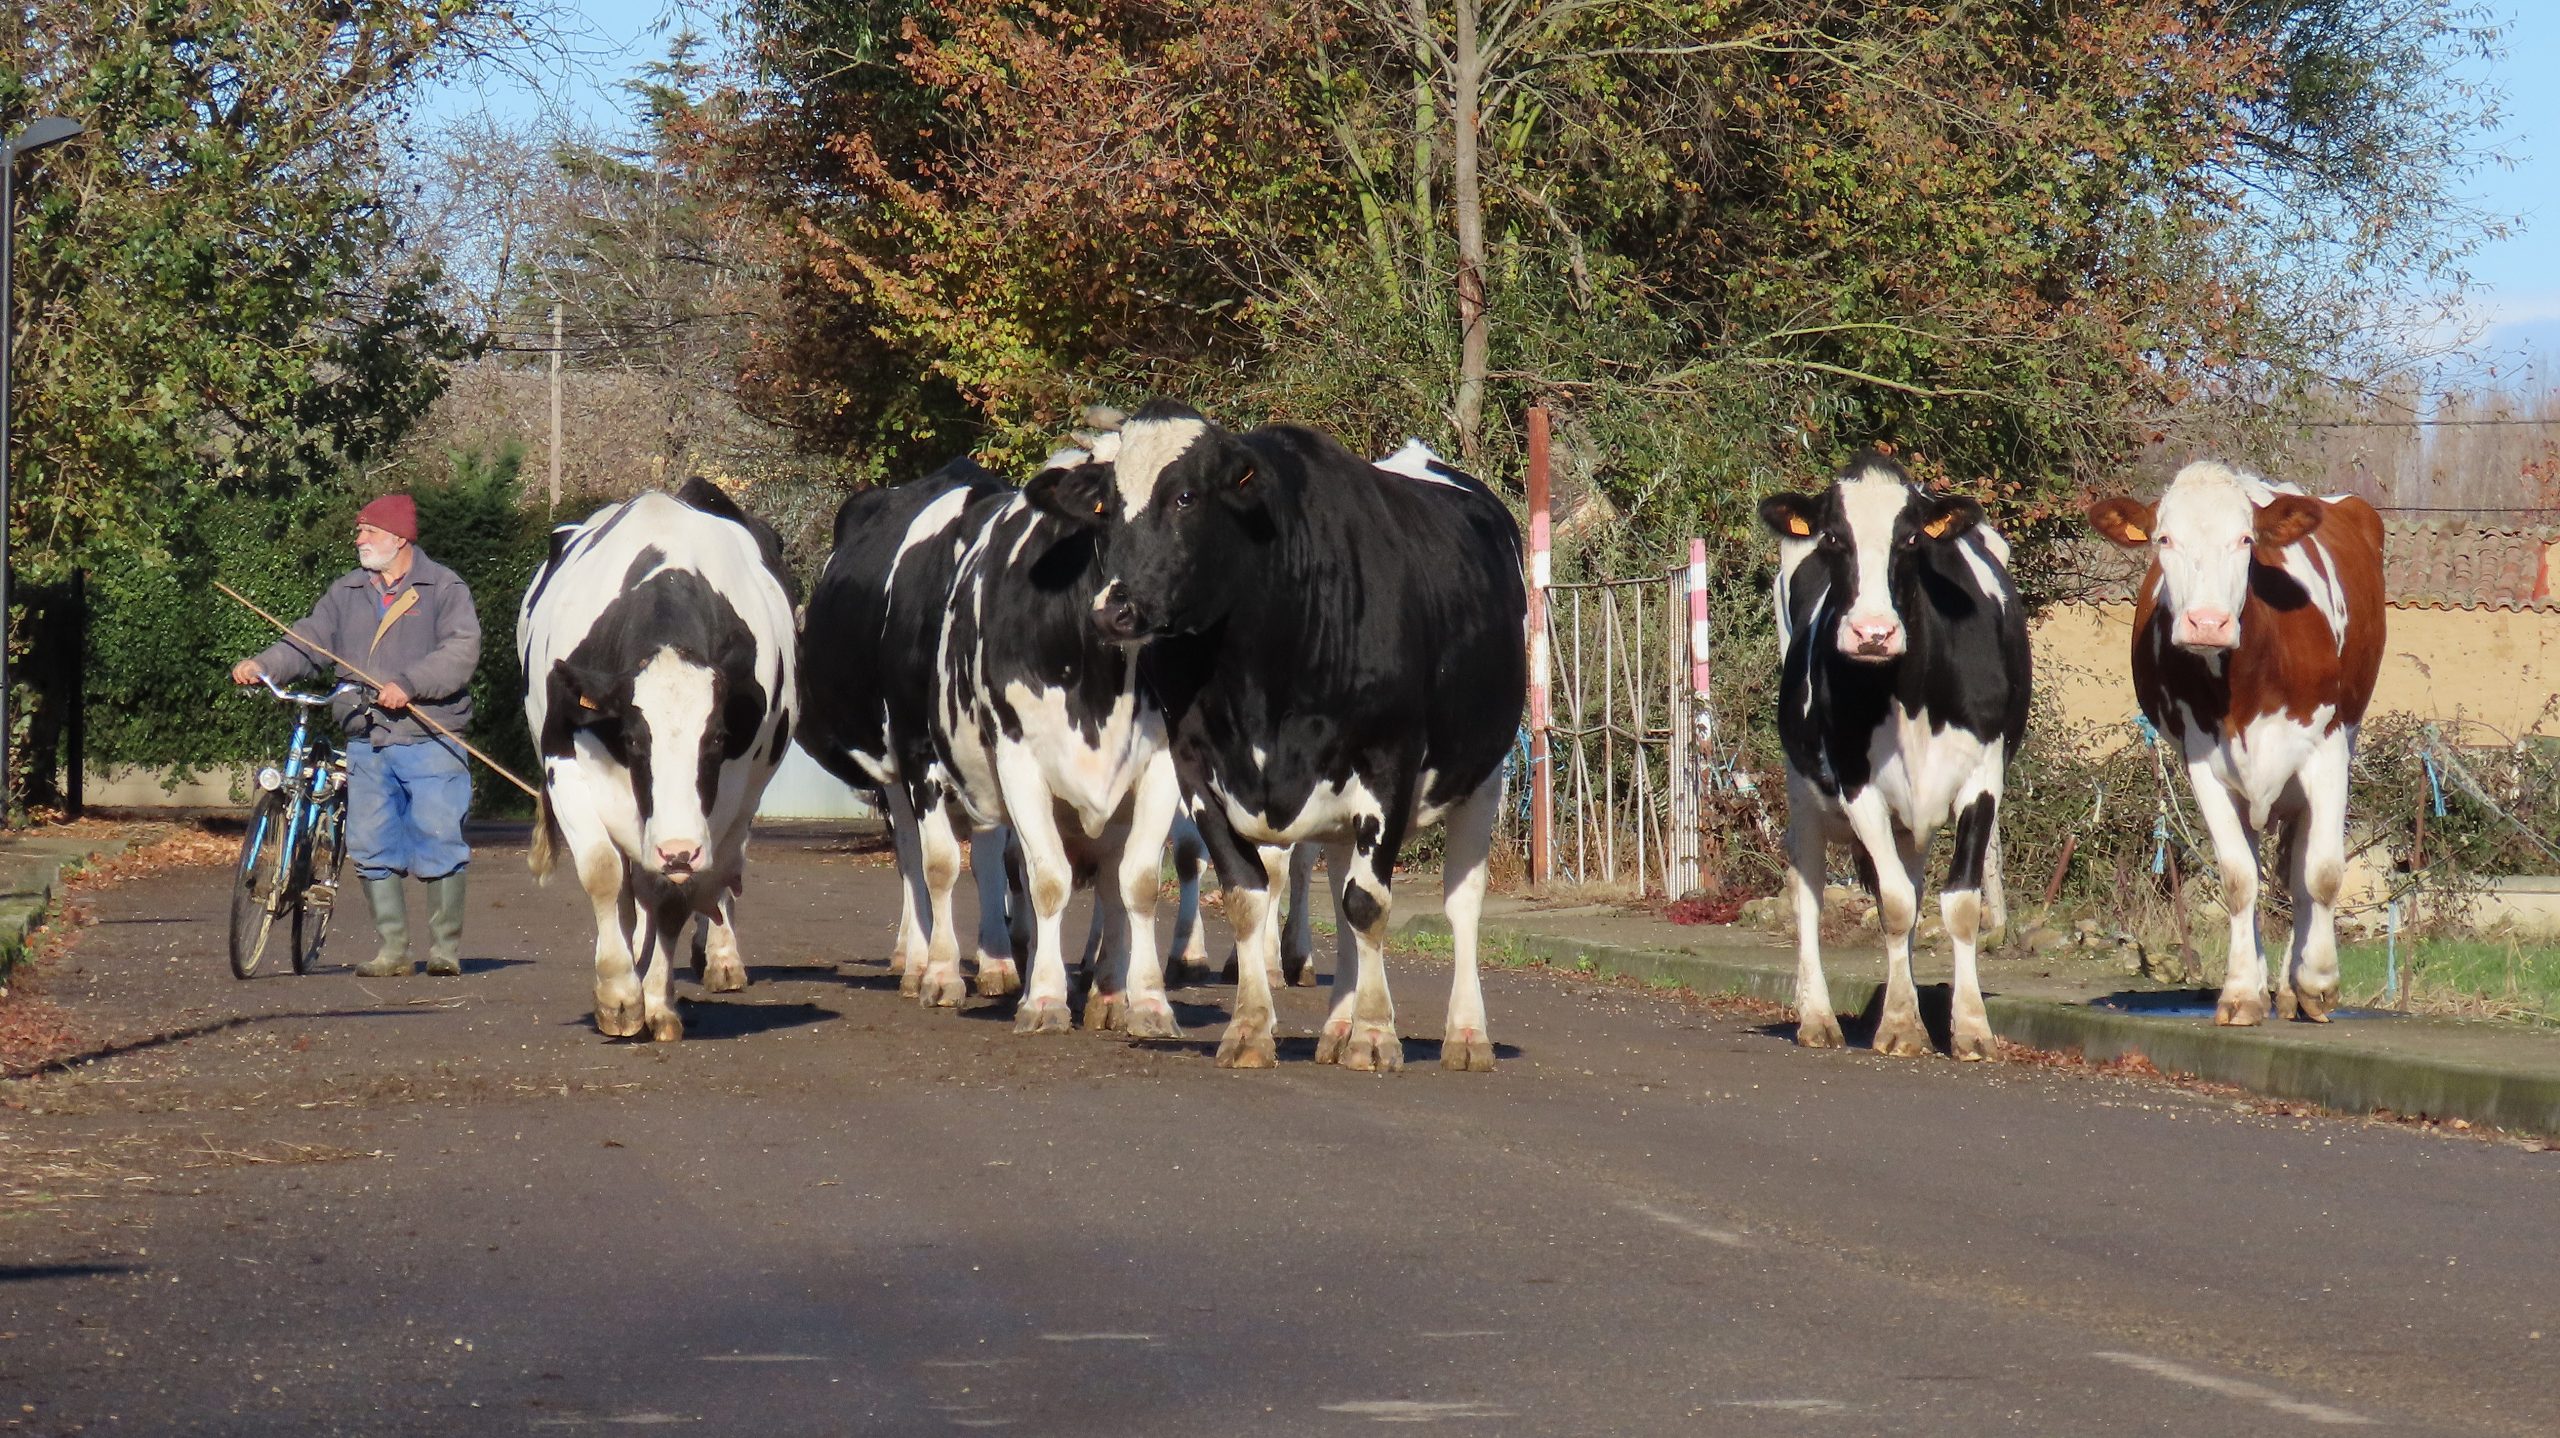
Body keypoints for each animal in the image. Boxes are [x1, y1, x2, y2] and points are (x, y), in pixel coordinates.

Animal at [521, 479, 798, 1042]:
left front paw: (655, 1000)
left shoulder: (723, 797)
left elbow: (676, 896)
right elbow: (603, 871)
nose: (677, 850)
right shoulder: (564, 760)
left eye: (717, 739)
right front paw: (618, 994)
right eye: (632, 739)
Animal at [1027, 402, 1527, 1072]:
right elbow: (1248, 895)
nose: (1113, 610)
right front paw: (1251, 1028)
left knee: (1460, 902)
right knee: (1339, 889)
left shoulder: (1388, 762)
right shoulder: (1199, 771)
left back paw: (1465, 1034)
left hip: (1483, 773)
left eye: (1185, 496)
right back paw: (1336, 1026)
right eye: (1107, 506)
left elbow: (1370, 904)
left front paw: (1376, 1033)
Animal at [1761, 452, 2030, 1060]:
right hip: (1803, 785)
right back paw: (1817, 1017)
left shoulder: (1983, 777)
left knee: (1912, 886)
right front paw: (1903, 1026)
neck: (1909, 693)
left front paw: (1971, 1028)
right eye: (1834, 537)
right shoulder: (1858, 785)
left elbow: (1958, 906)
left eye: (1909, 539)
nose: (1872, 633)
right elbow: (1896, 904)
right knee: (1809, 891)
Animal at [2087, 462, 2385, 1025]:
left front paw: (2318, 982)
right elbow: (2238, 878)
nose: (2208, 623)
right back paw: (2271, 986)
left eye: (2246, 539)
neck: (2245, 682)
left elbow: (2323, 873)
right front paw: (2243, 991)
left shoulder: (2327, 749)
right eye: (2163, 538)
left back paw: (2295, 987)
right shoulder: (2202, 762)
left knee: (2297, 868)